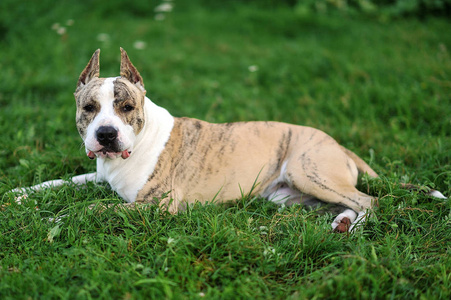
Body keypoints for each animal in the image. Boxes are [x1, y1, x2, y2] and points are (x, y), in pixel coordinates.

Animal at [8, 48, 446, 232]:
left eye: (126, 106)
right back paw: (339, 223)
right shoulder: (99, 174)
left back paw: (353, 231)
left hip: (307, 169)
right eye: (89, 108)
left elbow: (94, 207)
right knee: (345, 203)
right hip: (292, 193)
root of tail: (335, 142)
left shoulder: (159, 204)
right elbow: (60, 182)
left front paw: (58, 217)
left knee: (369, 201)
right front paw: (18, 194)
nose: (106, 134)